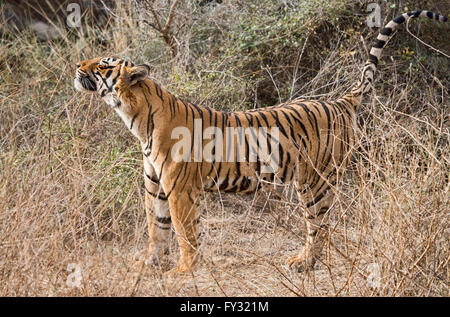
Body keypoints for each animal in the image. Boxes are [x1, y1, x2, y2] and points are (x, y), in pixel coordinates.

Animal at [73, 9, 446, 272]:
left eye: (103, 64)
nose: (77, 64)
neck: (136, 118)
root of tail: (339, 100)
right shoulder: (155, 187)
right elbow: (157, 229)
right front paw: (150, 264)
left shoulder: (180, 189)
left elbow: (184, 232)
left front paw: (183, 270)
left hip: (315, 181)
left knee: (320, 225)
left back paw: (304, 263)